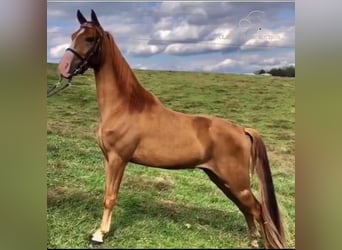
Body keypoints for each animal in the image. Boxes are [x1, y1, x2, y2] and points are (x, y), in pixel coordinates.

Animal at [56, 9, 286, 248]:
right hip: (223, 180)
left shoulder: (118, 159)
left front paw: (100, 235)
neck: (125, 106)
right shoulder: (108, 159)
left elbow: (110, 197)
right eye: (73, 35)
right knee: (246, 208)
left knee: (257, 209)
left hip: (236, 182)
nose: (63, 68)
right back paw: (252, 241)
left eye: (90, 38)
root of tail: (242, 130)